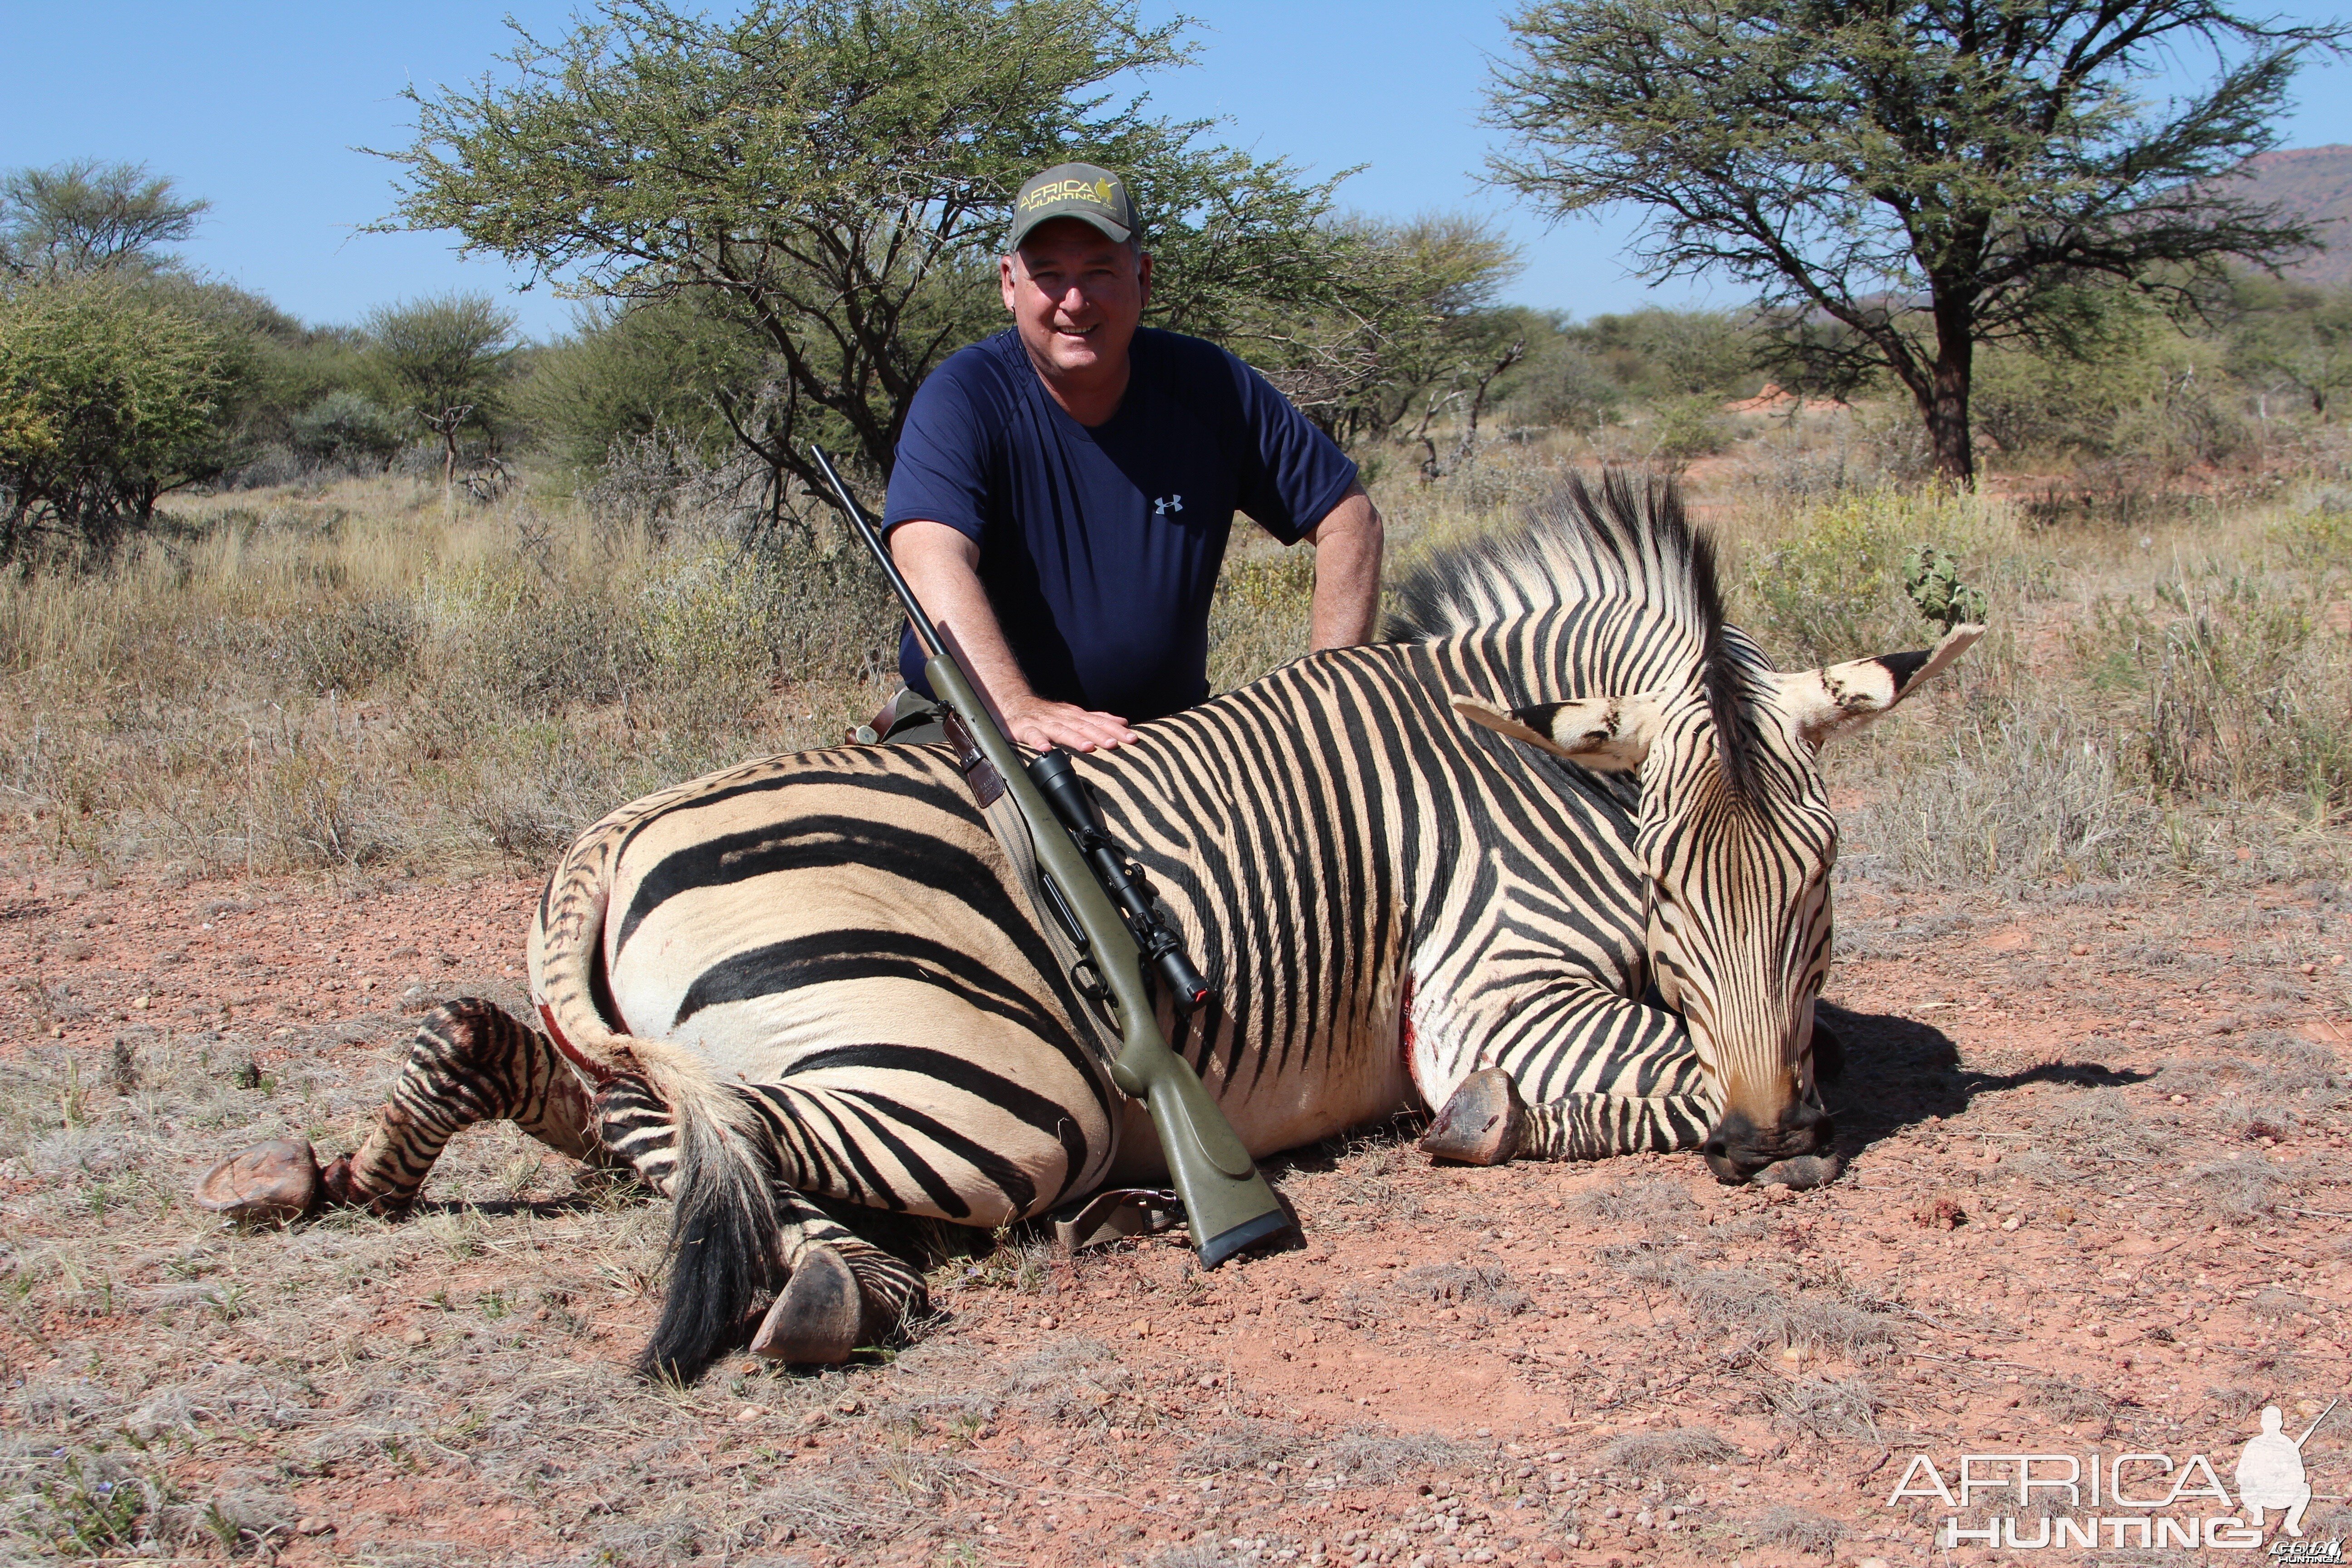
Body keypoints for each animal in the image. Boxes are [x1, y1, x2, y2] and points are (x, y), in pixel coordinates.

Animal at [202, 470, 1975, 1382]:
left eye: (1821, 878)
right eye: (1665, 880)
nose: (1758, 1151)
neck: (1515, 761)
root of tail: (611, 836)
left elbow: (1820, 1043)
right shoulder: (1497, 988)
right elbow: (1687, 1070)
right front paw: (1496, 1125)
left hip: (668, 1053)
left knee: (547, 1074)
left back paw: (322, 1177)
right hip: (1003, 1089)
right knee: (740, 1136)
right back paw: (849, 1288)